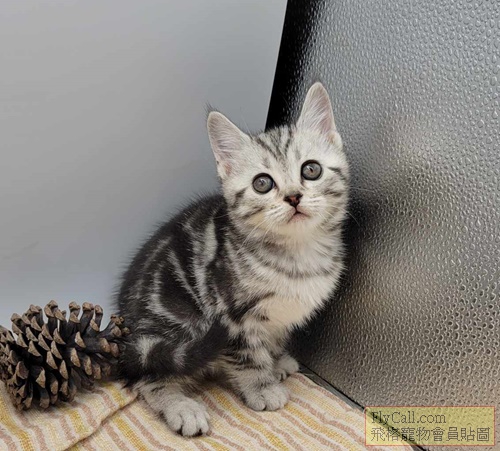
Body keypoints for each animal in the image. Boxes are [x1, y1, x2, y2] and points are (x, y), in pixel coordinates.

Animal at [116, 82, 349, 437]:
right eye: (262, 183)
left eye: (311, 169)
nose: (293, 197)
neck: (297, 253)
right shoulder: (231, 313)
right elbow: (247, 355)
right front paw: (262, 387)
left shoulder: (279, 317)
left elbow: (273, 339)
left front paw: (276, 361)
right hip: (175, 318)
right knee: (147, 375)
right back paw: (182, 407)